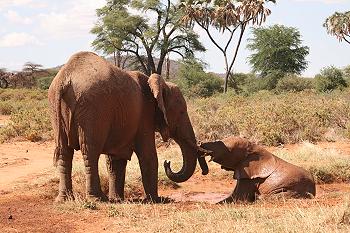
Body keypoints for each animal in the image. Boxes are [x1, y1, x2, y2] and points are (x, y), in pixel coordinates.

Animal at [48, 52, 208, 203]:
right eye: (181, 112)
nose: (167, 163)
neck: (161, 85)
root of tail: (64, 77)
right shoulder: (144, 115)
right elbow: (148, 155)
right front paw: (156, 200)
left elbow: (116, 160)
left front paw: (117, 199)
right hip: (92, 109)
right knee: (90, 151)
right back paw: (98, 198)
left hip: (57, 110)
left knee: (64, 151)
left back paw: (65, 199)